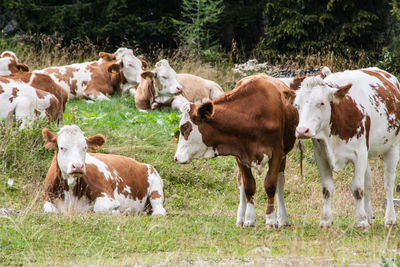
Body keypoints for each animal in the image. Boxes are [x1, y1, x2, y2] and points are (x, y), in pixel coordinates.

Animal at [173, 74, 298, 229]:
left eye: (185, 128)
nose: (176, 157)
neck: (252, 115)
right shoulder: (240, 154)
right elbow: (249, 186)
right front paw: (249, 219)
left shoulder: (277, 152)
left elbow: (270, 185)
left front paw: (271, 220)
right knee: (242, 184)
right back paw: (241, 219)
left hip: (283, 156)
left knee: (280, 183)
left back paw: (283, 219)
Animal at [292, 67, 400, 228]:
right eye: (296, 105)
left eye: (321, 103)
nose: (302, 130)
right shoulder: (320, 155)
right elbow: (327, 188)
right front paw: (326, 220)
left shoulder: (359, 154)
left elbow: (357, 188)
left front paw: (361, 221)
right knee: (368, 184)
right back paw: (369, 215)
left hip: (393, 146)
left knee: (388, 183)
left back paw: (390, 219)